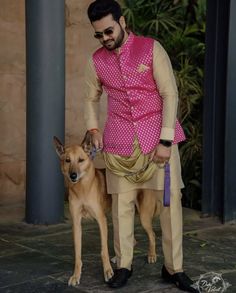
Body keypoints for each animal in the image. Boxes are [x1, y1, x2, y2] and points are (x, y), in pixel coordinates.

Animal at [53, 133, 160, 286]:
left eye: (81, 160)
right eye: (67, 160)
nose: (73, 175)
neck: (83, 188)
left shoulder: (101, 220)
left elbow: (103, 251)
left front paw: (108, 272)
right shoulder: (76, 224)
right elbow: (78, 253)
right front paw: (76, 275)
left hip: (144, 217)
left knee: (152, 235)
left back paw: (151, 255)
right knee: (131, 239)